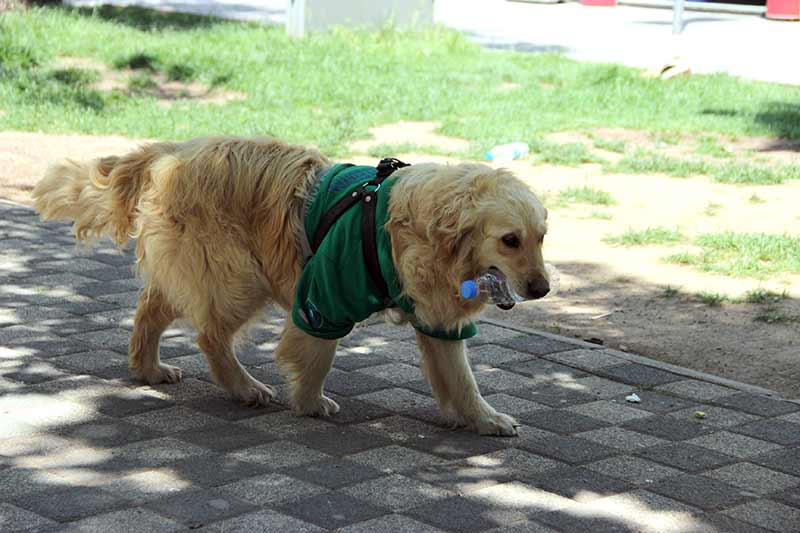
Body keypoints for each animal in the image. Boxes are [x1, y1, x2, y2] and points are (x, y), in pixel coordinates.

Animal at [36, 135, 552, 434]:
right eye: (509, 240)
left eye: (541, 237)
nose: (542, 289)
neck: (418, 227)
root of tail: (172, 151)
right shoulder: (323, 295)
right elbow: (317, 355)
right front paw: (309, 402)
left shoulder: (438, 320)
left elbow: (461, 378)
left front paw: (483, 418)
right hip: (239, 275)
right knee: (210, 335)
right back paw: (243, 386)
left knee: (151, 308)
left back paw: (148, 369)